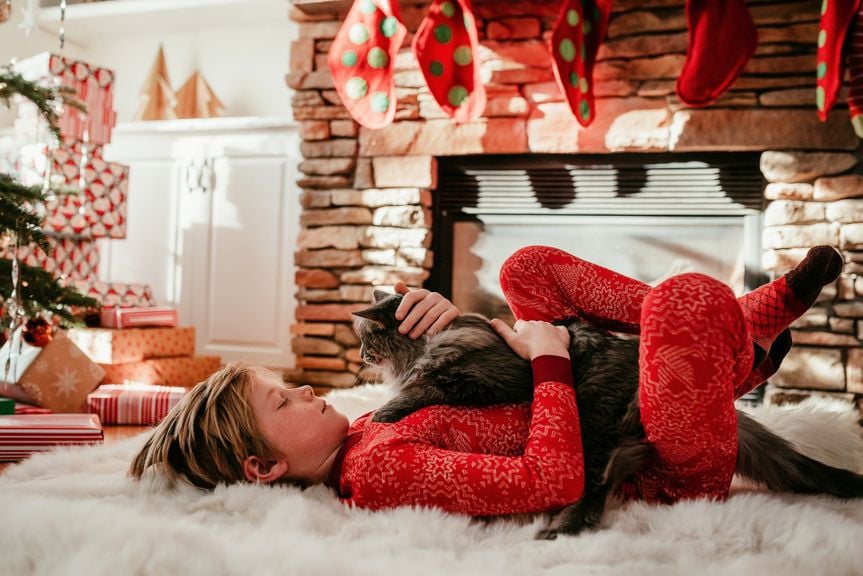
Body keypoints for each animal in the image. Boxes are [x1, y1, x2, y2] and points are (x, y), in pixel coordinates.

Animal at [354, 292, 863, 540]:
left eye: (367, 339)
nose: (360, 356)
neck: (431, 340)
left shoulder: (488, 379)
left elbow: (424, 387)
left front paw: (382, 413)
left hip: (592, 422)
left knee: (593, 486)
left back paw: (562, 530)